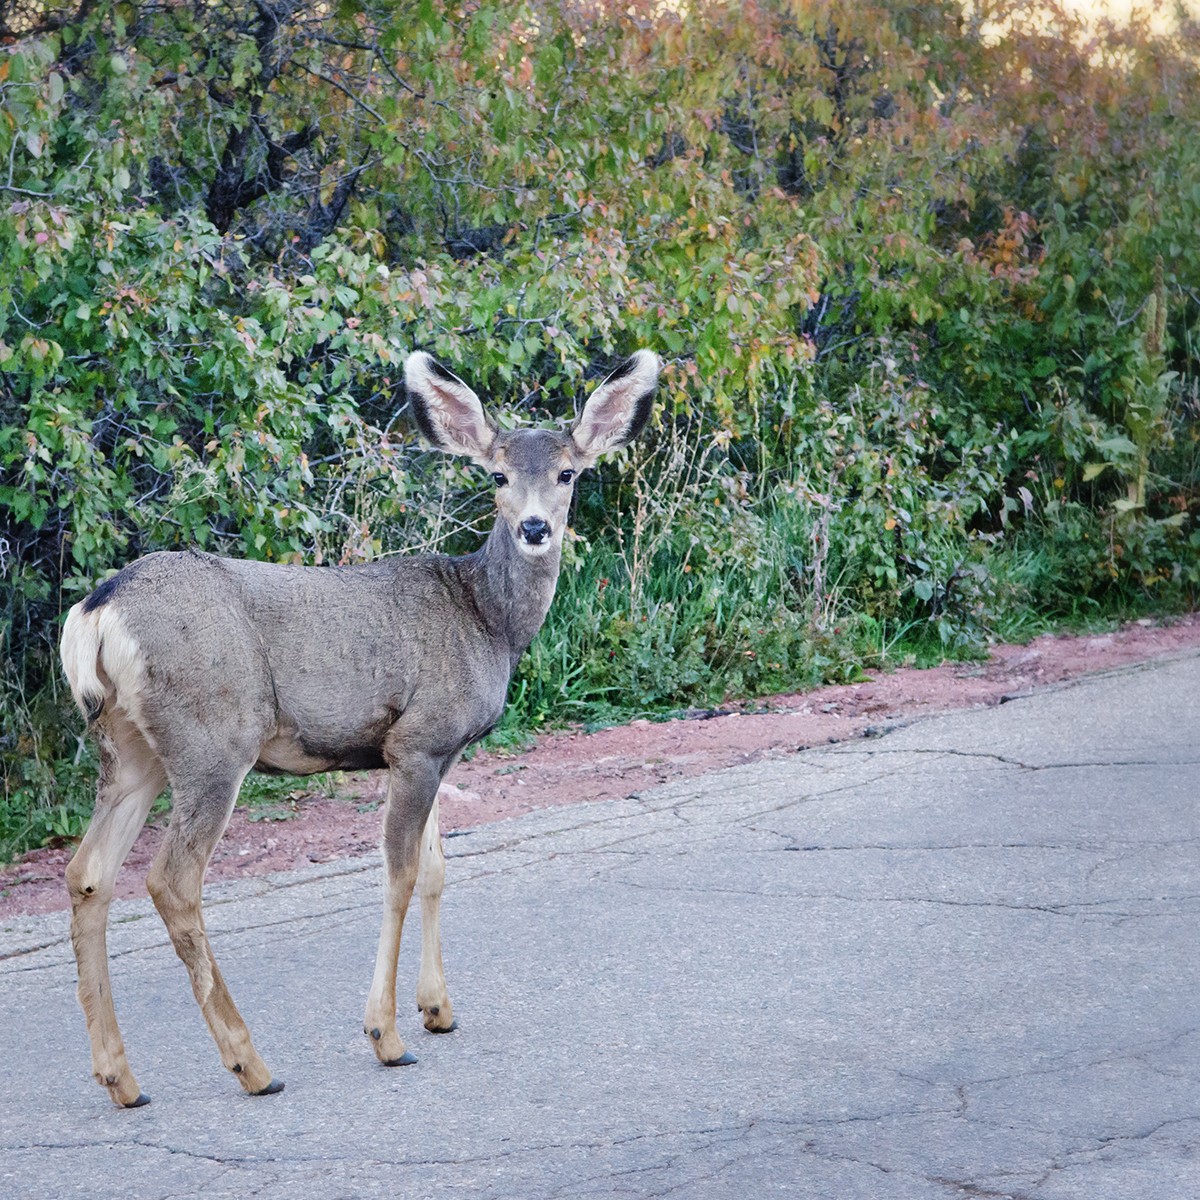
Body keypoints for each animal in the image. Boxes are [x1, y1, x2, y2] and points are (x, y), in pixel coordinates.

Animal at [60, 348, 662, 1104]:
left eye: (567, 473)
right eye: (497, 475)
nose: (534, 528)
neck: (487, 620)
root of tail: (97, 611)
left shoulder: (438, 751)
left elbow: (435, 868)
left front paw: (438, 1010)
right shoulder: (418, 738)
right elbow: (400, 875)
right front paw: (388, 1036)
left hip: (130, 747)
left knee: (88, 873)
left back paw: (121, 1078)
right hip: (212, 738)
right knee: (171, 882)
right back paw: (251, 1065)